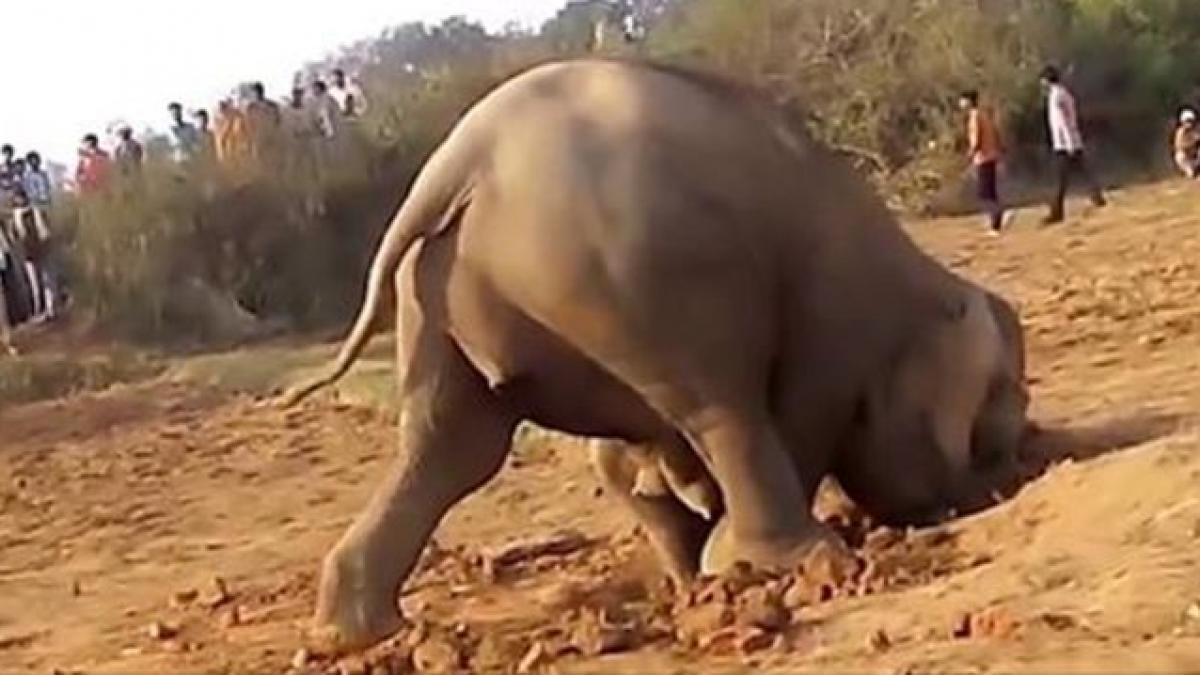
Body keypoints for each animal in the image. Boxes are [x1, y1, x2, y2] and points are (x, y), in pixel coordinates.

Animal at [282, 58, 1030, 655]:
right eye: (994, 422)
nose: (1011, 471)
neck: (919, 274)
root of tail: (457, 162)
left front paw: (697, 569)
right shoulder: (835, 308)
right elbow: (804, 403)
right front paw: (730, 565)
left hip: (439, 290)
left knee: (452, 447)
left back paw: (356, 633)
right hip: (627, 273)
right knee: (720, 405)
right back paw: (803, 558)